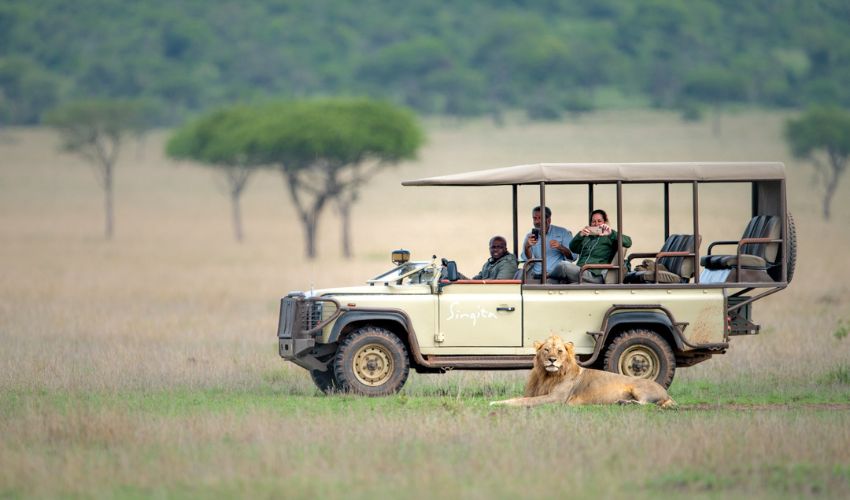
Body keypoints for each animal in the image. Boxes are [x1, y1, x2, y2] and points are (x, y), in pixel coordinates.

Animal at [490, 335, 675, 408]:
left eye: (559, 351)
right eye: (546, 350)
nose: (552, 360)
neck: (548, 376)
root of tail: (666, 393)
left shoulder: (555, 399)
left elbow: (524, 402)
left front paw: (496, 404)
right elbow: (518, 398)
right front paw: (497, 402)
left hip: (639, 388)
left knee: (645, 403)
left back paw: (624, 402)